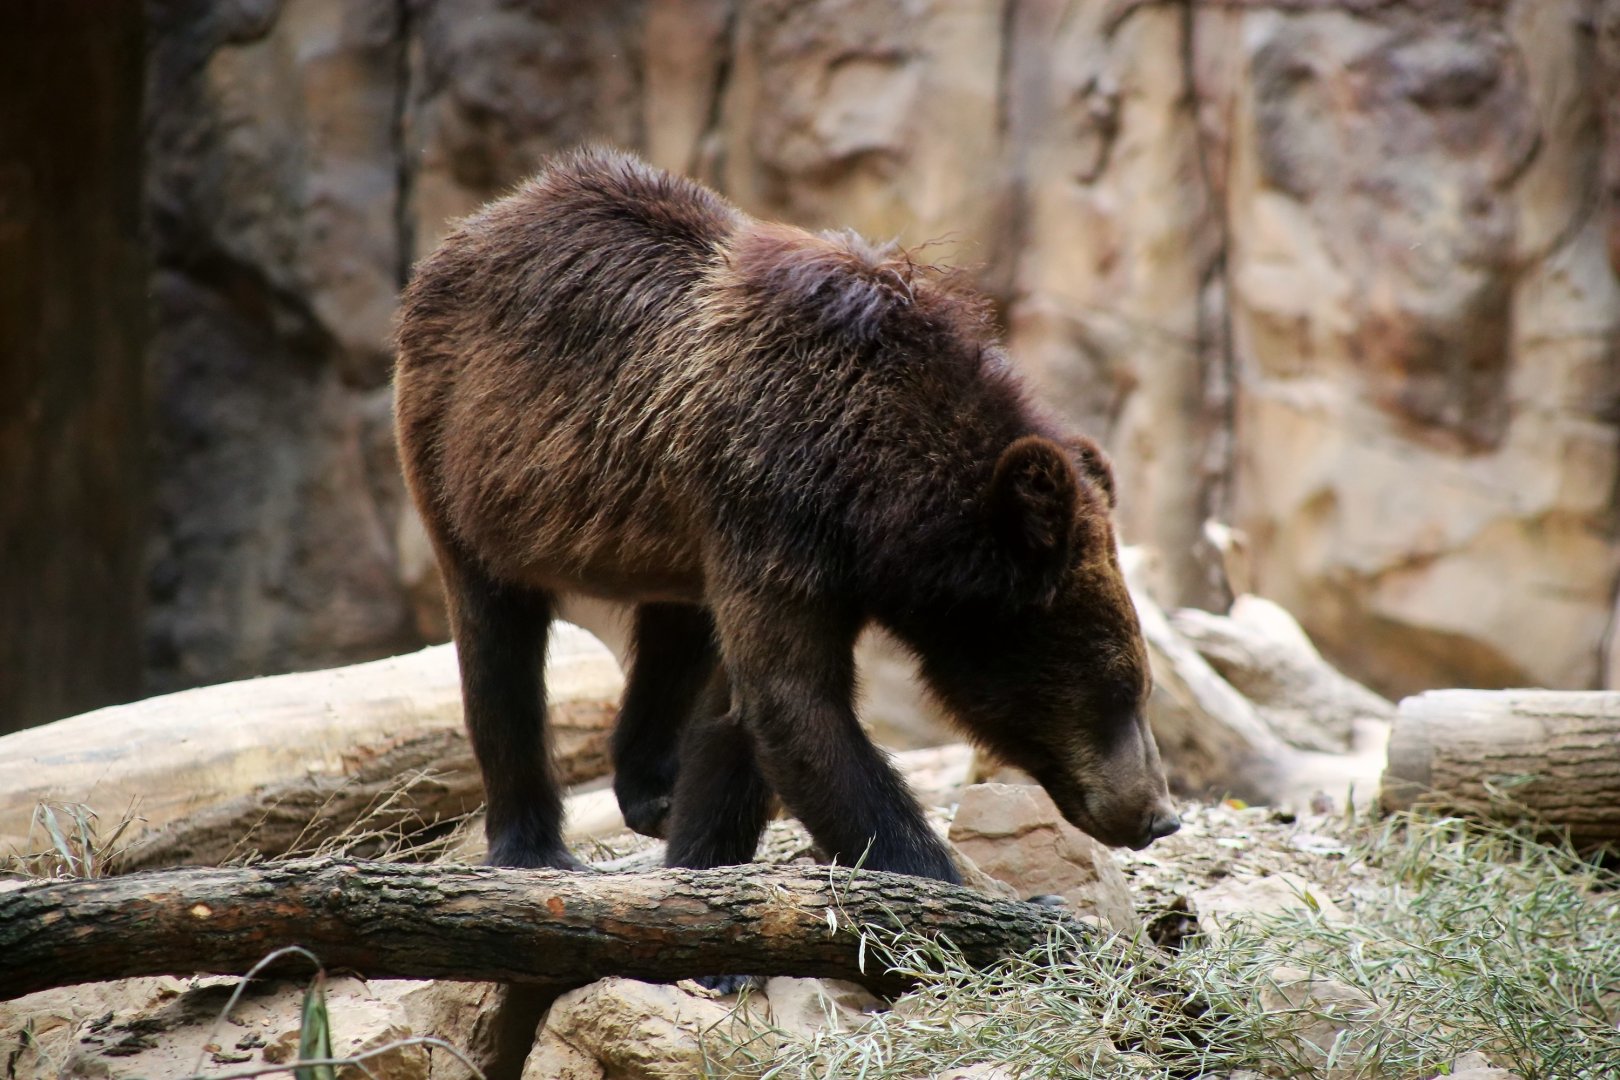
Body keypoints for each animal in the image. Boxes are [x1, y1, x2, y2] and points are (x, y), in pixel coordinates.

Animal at [393, 147, 1179, 884]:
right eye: (1120, 686)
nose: (1158, 814)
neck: (873, 487)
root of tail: (485, 219)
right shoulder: (770, 502)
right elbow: (795, 705)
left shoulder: (780, 541)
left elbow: (746, 715)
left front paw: (702, 850)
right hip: (465, 457)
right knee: (499, 646)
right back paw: (534, 844)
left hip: (663, 527)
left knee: (677, 632)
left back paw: (651, 787)